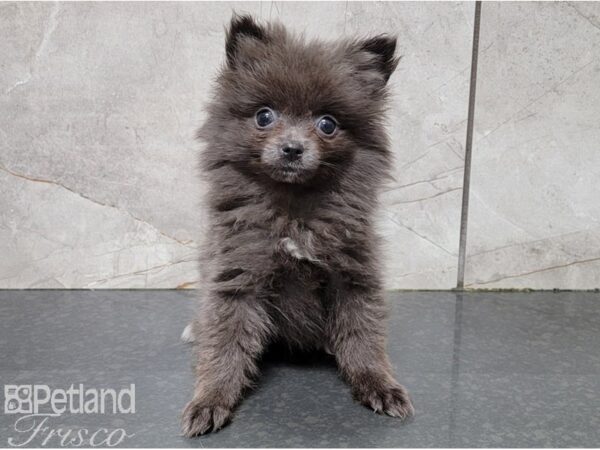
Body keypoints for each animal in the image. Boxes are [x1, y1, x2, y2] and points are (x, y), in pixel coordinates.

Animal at [182, 14, 412, 436]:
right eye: (264, 116)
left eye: (328, 124)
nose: (292, 148)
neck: (294, 211)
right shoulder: (236, 275)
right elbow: (225, 341)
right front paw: (210, 399)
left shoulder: (354, 274)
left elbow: (363, 335)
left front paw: (379, 384)